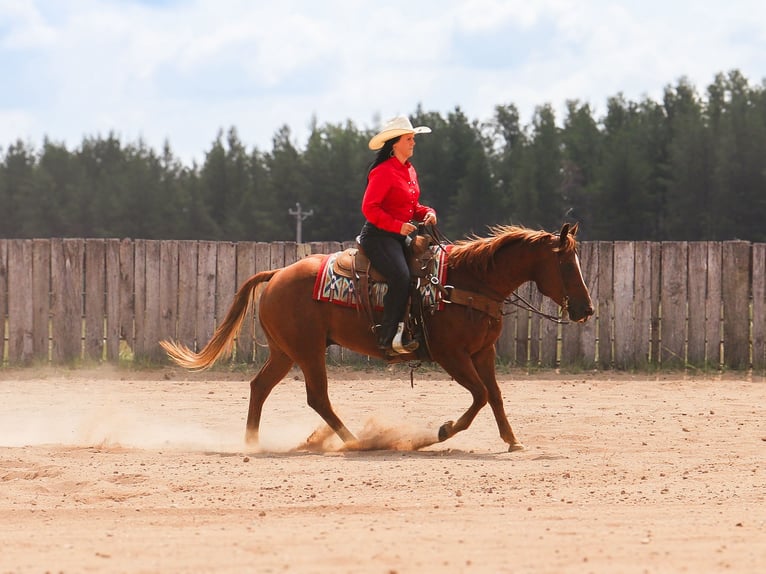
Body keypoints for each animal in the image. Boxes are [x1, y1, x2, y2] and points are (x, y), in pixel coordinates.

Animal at [160, 223, 592, 452]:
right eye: (566, 265)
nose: (586, 309)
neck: (465, 282)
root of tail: (277, 273)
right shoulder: (452, 355)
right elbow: (481, 396)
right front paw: (441, 431)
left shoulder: (482, 352)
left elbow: (496, 396)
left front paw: (513, 440)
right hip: (308, 350)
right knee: (317, 397)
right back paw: (354, 441)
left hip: (285, 351)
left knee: (260, 387)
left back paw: (252, 442)